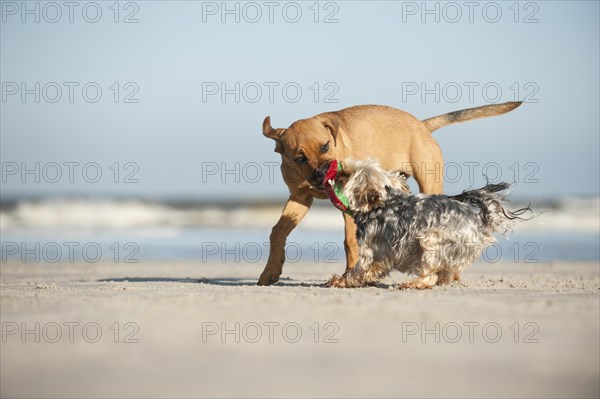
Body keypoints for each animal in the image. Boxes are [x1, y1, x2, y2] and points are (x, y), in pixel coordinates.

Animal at [258, 101, 520, 286]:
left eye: (325, 146)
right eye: (300, 158)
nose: (324, 171)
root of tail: (421, 125)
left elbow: (350, 242)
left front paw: (351, 275)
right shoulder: (301, 198)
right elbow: (277, 231)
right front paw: (270, 271)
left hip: (430, 183)